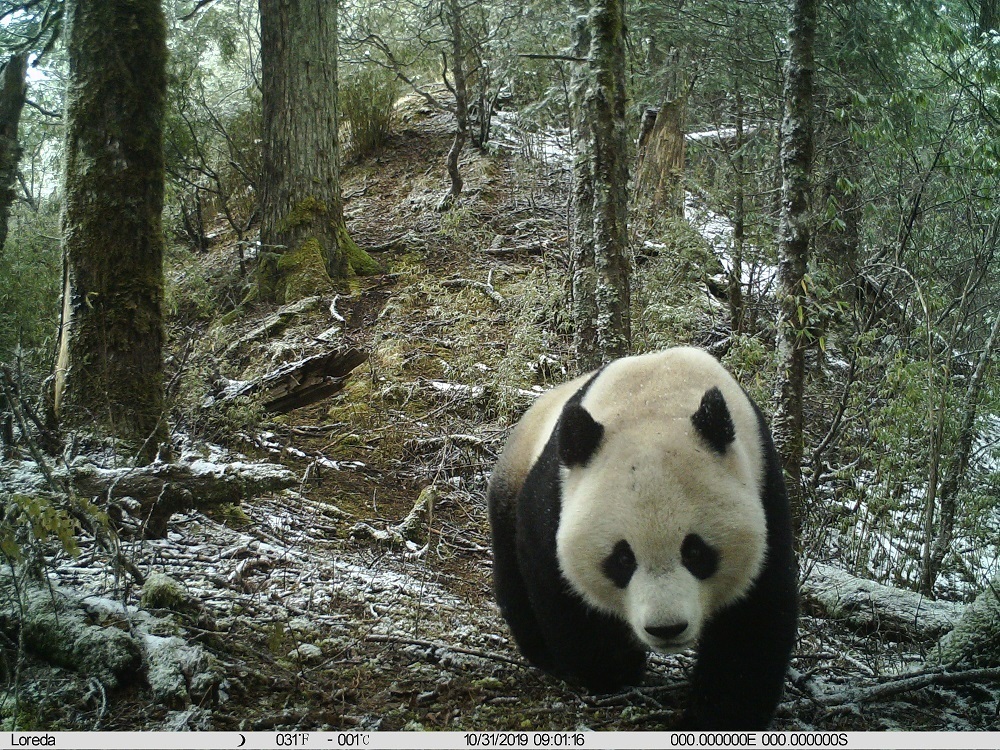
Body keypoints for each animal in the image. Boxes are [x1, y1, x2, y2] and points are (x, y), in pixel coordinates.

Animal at [487, 347, 797, 730]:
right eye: (622, 558)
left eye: (695, 552)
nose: (667, 628)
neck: (657, 399)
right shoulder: (554, 494)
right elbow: (560, 587)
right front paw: (615, 670)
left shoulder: (764, 487)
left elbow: (754, 617)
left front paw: (714, 717)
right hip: (512, 478)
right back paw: (544, 657)